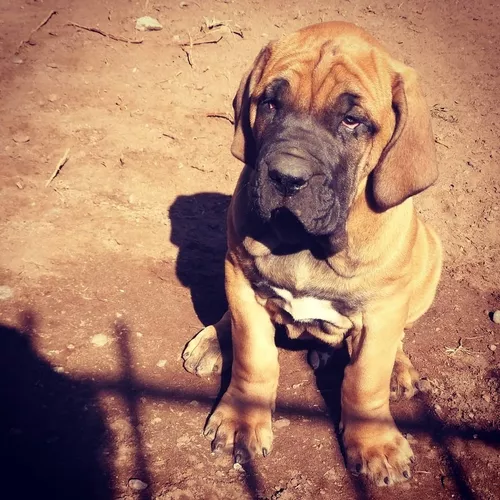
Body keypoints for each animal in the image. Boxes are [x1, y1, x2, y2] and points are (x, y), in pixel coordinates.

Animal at [182, 21, 440, 486]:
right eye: (270, 103)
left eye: (352, 120)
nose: (286, 177)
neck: (308, 245)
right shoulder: (242, 281)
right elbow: (254, 357)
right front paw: (243, 419)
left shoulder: (383, 309)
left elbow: (365, 379)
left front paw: (374, 443)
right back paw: (213, 338)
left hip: (430, 254)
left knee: (396, 340)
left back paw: (398, 367)